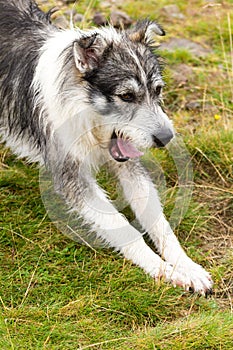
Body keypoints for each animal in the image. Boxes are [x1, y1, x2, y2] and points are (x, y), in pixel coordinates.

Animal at [0, 0, 213, 296]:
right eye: (126, 96)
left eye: (158, 90)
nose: (166, 138)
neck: (85, 113)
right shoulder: (72, 177)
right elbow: (122, 226)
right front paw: (163, 270)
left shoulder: (128, 159)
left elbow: (158, 221)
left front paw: (186, 266)